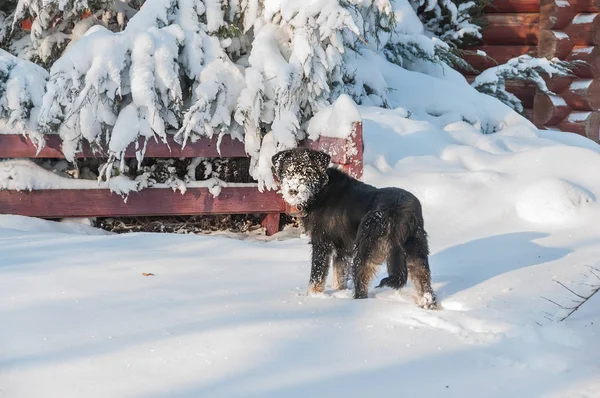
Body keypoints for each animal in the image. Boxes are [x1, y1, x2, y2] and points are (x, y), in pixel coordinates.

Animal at [272, 148, 436, 310]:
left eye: (308, 171)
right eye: (287, 171)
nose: (293, 190)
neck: (322, 190)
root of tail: (399, 213)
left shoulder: (322, 244)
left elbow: (316, 278)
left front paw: (312, 298)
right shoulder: (342, 249)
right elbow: (340, 277)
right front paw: (339, 292)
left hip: (364, 253)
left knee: (361, 288)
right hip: (416, 254)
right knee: (425, 287)